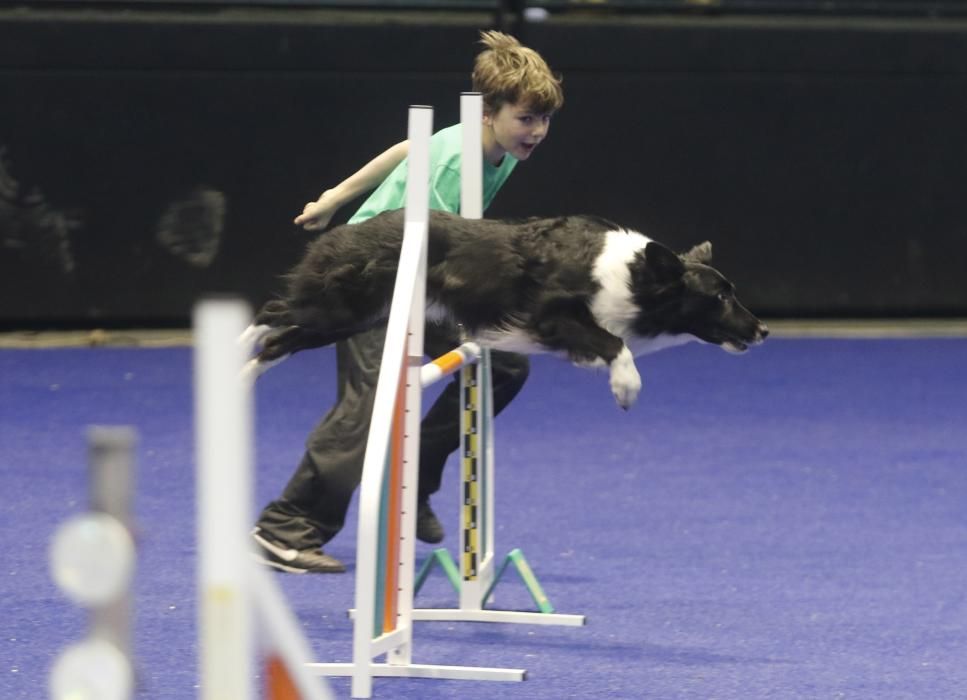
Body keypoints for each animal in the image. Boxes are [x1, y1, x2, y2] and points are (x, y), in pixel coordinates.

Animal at [244, 208, 772, 408]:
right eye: (720, 297)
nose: (764, 330)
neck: (632, 277)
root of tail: (342, 231)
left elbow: (610, 341)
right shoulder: (550, 315)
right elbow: (614, 342)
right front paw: (626, 387)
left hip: (351, 318)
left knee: (279, 332)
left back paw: (243, 370)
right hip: (344, 310)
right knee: (274, 314)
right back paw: (239, 355)